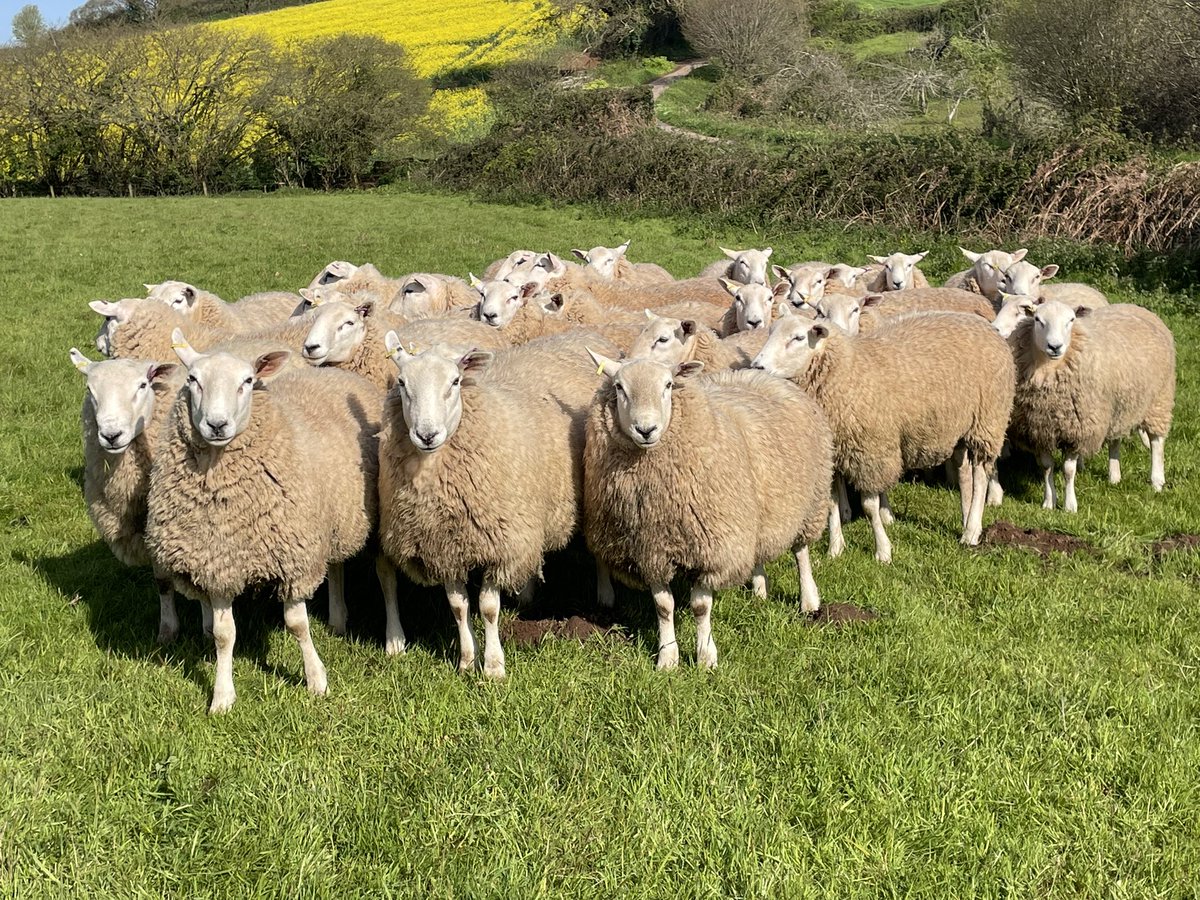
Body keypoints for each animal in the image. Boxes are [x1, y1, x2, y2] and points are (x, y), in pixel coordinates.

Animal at [146, 332, 398, 713]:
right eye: (193, 380)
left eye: (247, 382)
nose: (217, 425)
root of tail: (336, 373)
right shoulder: (218, 564)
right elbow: (223, 635)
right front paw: (222, 697)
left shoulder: (292, 558)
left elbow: (297, 625)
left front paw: (316, 680)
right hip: (328, 519)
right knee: (335, 565)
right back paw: (338, 619)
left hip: (372, 516)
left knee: (384, 575)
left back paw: (393, 638)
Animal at [377, 330, 618, 678]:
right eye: (401, 382)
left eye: (455, 381)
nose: (427, 434)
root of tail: (583, 333)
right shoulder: (446, 546)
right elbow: (459, 607)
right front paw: (466, 661)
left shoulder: (498, 543)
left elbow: (489, 609)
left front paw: (493, 666)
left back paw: (605, 595)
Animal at [583, 353, 834, 668]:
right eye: (619, 387)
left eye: (668, 385)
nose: (646, 430)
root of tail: (757, 375)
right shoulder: (650, 550)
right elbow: (663, 607)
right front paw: (668, 657)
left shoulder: (710, 549)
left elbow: (701, 607)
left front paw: (705, 657)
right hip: (751, 513)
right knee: (757, 551)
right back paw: (759, 591)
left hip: (810, 502)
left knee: (801, 552)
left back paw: (809, 601)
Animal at [752, 312, 1015, 562]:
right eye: (770, 333)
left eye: (797, 338)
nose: (757, 366)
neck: (847, 371)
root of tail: (985, 325)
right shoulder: (834, 456)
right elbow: (832, 503)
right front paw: (835, 548)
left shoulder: (869, 451)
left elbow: (869, 507)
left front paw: (883, 550)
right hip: (958, 425)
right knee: (963, 474)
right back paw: (965, 517)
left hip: (987, 420)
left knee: (980, 476)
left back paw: (972, 531)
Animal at [1007, 300, 1175, 513]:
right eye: (1038, 319)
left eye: (1071, 320)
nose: (1055, 346)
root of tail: (1135, 306)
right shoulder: (1039, 430)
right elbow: (1046, 467)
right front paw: (1048, 502)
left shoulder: (1077, 430)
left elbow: (1068, 470)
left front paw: (1070, 505)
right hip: (1117, 406)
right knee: (1115, 439)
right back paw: (1114, 477)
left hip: (1159, 401)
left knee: (1156, 442)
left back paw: (1157, 481)